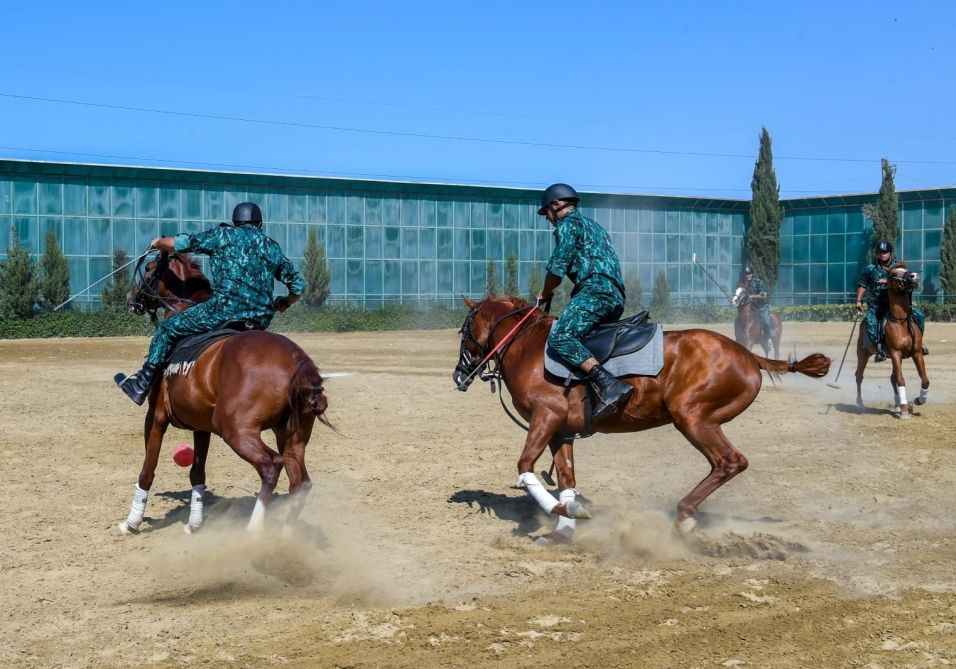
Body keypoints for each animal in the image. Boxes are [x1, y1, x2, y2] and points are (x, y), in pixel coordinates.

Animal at [116, 253, 332, 536]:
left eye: (150, 268)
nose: (130, 298)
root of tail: (298, 361)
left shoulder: (156, 416)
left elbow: (147, 470)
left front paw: (131, 522)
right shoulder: (200, 426)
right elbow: (197, 473)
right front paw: (194, 524)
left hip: (235, 429)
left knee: (271, 466)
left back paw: (254, 530)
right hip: (292, 435)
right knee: (300, 482)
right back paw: (286, 536)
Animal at [456, 294, 828, 540]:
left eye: (464, 330)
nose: (459, 374)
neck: (528, 348)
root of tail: (749, 356)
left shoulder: (545, 418)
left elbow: (525, 468)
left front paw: (561, 514)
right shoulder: (561, 431)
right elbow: (566, 480)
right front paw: (565, 525)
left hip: (692, 418)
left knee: (730, 461)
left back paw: (684, 515)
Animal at [856, 260, 928, 418]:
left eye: (907, 269)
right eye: (894, 273)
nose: (914, 276)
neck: (901, 321)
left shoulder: (917, 353)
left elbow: (924, 379)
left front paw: (918, 400)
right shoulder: (895, 352)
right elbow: (901, 379)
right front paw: (905, 410)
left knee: (892, 377)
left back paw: (897, 405)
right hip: (863, 354)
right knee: (859, 375)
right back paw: (860, 403)